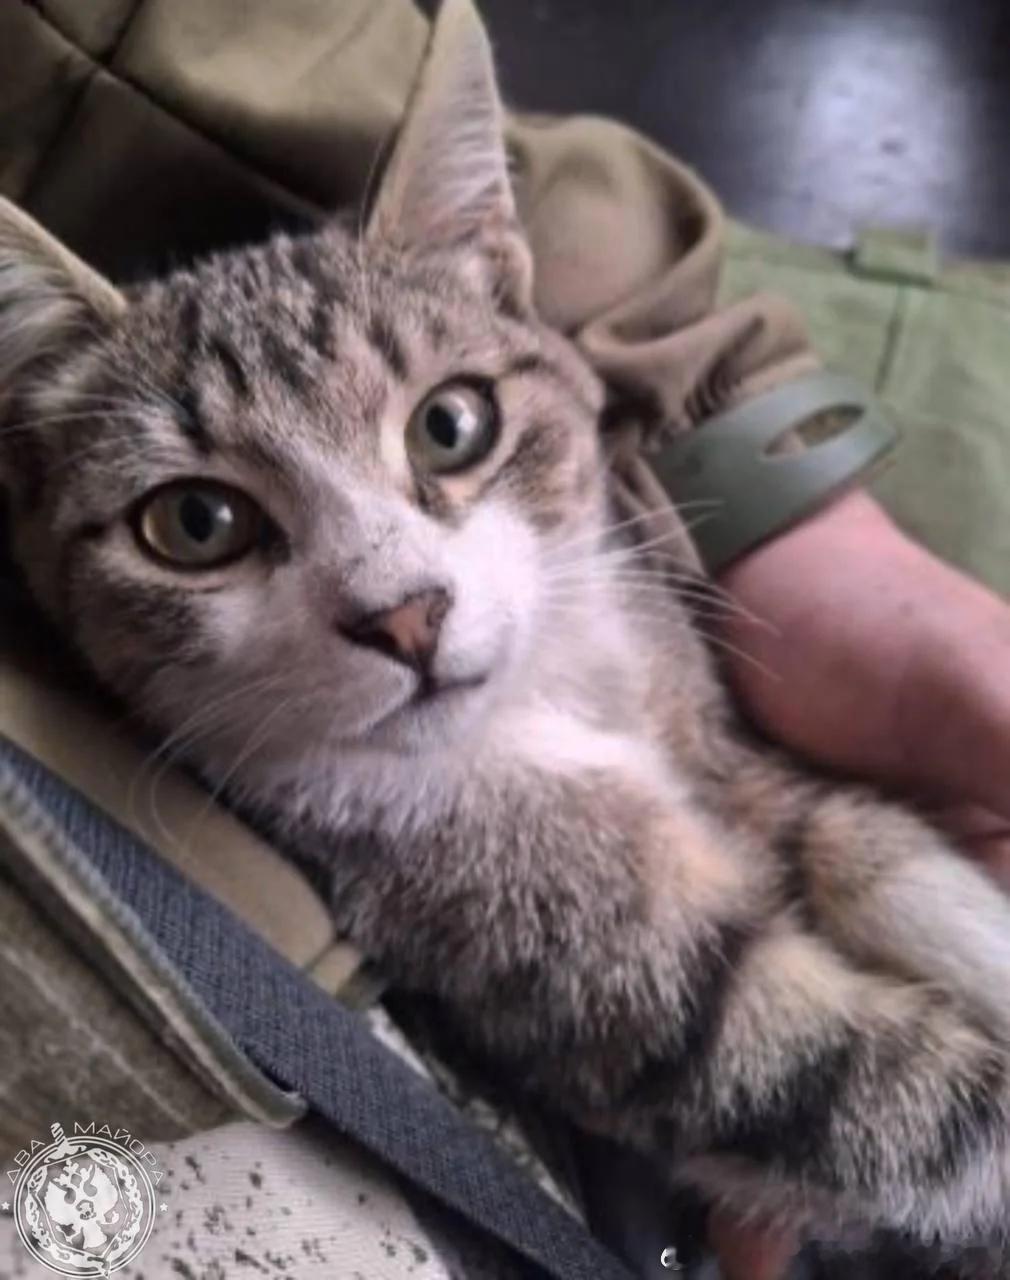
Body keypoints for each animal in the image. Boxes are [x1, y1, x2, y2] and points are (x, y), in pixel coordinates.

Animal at [3, 0, 1010, 1263]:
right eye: (195, 521)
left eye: (450, 424)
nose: (403, 612)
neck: (546, 694)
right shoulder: (567, 955)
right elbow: (882, 1093)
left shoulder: (714, 742)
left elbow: (859, 841)